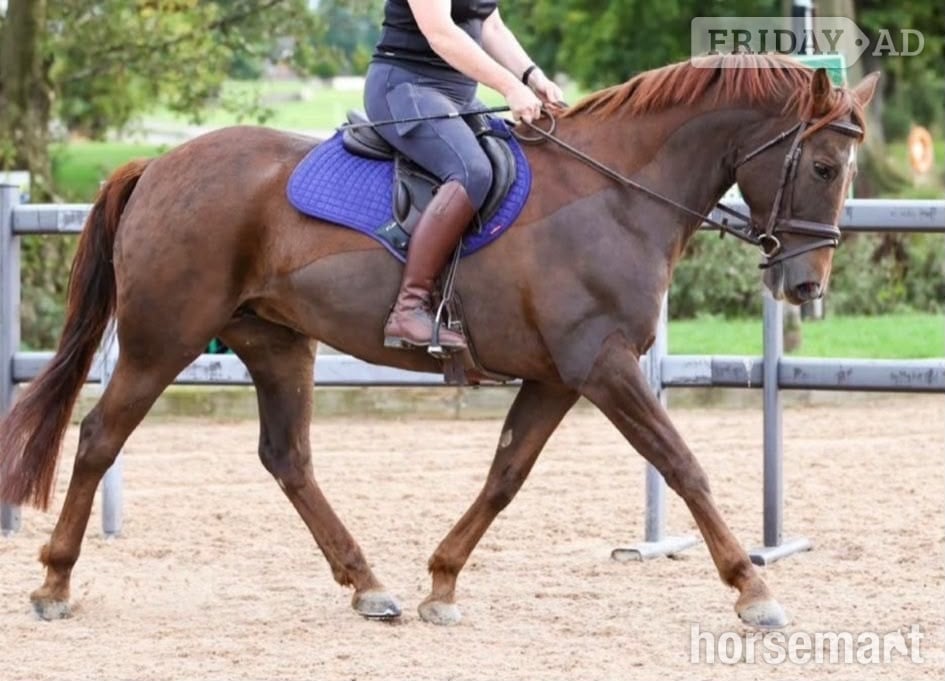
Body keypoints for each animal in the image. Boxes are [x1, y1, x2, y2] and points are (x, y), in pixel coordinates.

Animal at [0, 54, 877, 626]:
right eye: (823, 166)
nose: (806, 287)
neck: (615, 194)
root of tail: (156, 165)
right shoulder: (602, 366)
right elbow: (682, 463)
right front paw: (753, 589)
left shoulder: (557, 376)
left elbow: (503, 476)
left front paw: (442, 581)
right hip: (164, 337)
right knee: (99, 435)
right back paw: (54, 584)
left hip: (276, 343)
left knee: (287, 458)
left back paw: (367, 584)